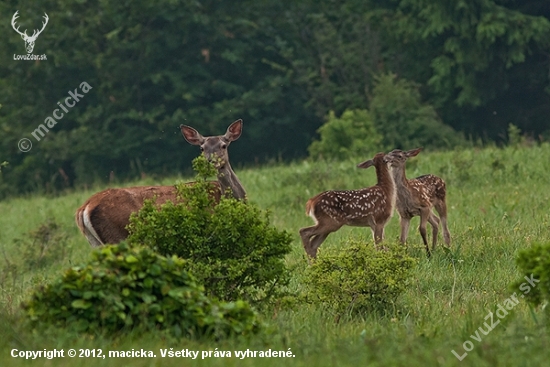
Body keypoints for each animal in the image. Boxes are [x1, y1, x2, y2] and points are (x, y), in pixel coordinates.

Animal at [74, 119, 247, 249]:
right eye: (202, 148)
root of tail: (85, 207)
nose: (209, 162)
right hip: (120, 237)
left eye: (223, 145)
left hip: (96, 243)